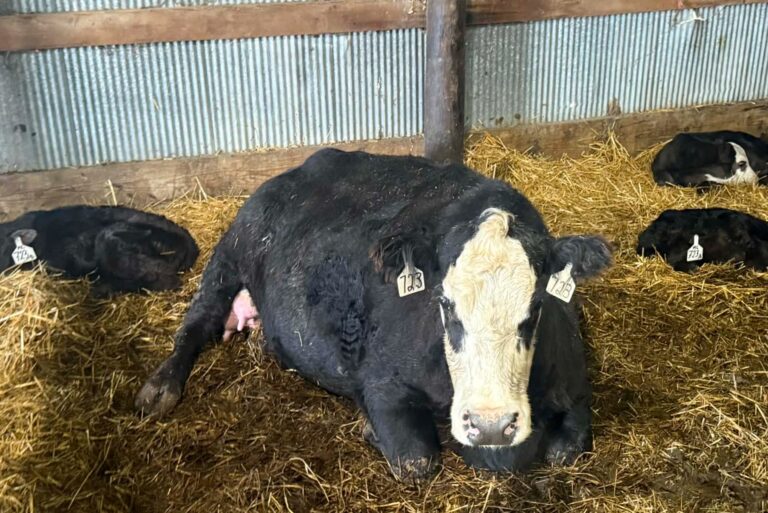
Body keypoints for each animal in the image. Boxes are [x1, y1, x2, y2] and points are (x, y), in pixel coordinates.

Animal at [135, 149, 612, 481]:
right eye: (444, 304)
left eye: (537, 306)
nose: (491, 425)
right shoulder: (381, 381)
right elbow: (417, 461)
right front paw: (370, 429)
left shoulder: (575, 385)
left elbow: (566, 452)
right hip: (231, 251)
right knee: (196, 322)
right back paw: (160, 387)